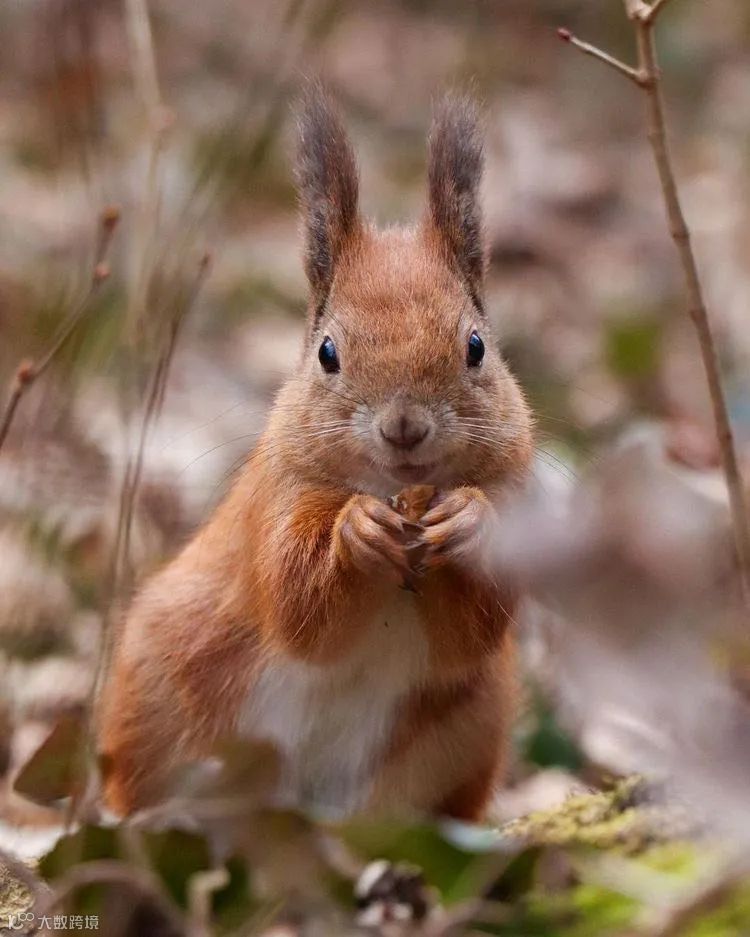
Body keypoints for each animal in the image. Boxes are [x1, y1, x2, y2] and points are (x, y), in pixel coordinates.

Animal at [99, 87, 533, 822]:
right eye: (327, 352)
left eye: (476, 347)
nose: (404, 427)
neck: (398, 493)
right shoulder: (279, 494)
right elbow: (295, 596)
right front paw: (356, 532)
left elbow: (468, 631)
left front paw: (469, 520)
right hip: (158, 693)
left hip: (468, 728)